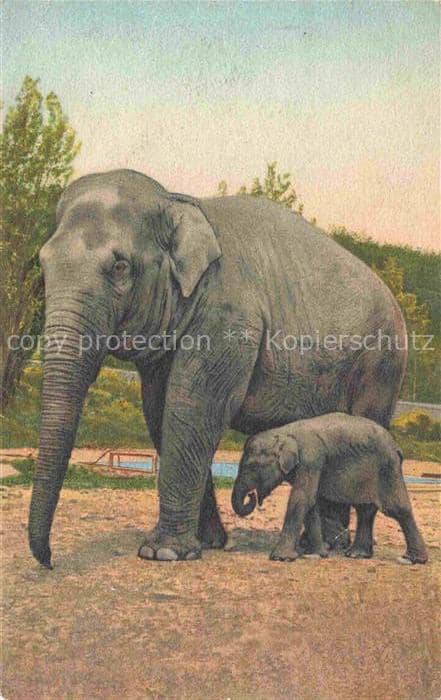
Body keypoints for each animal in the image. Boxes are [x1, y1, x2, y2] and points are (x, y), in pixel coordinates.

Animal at [29, 168, 407, 567]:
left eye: (120, 267)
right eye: (42, 263)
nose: (50, 561)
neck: (177, 201)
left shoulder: (229, 319)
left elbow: (193, 408)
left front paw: (162, 552)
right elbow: (159, 411)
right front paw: (207, 543)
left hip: (380, 366)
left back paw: (330, 546)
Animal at [231, 413, 428, 564]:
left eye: (252, 466)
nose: (252, 496)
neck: (284, 431)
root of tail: (396, 447)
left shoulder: (311, 459)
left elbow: (302, 499)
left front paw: (281, 558)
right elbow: (311, 505)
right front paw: (316, 554)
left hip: (388, 468)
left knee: (396, 508)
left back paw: (412, 559)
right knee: (365, 510)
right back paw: (356, 555)